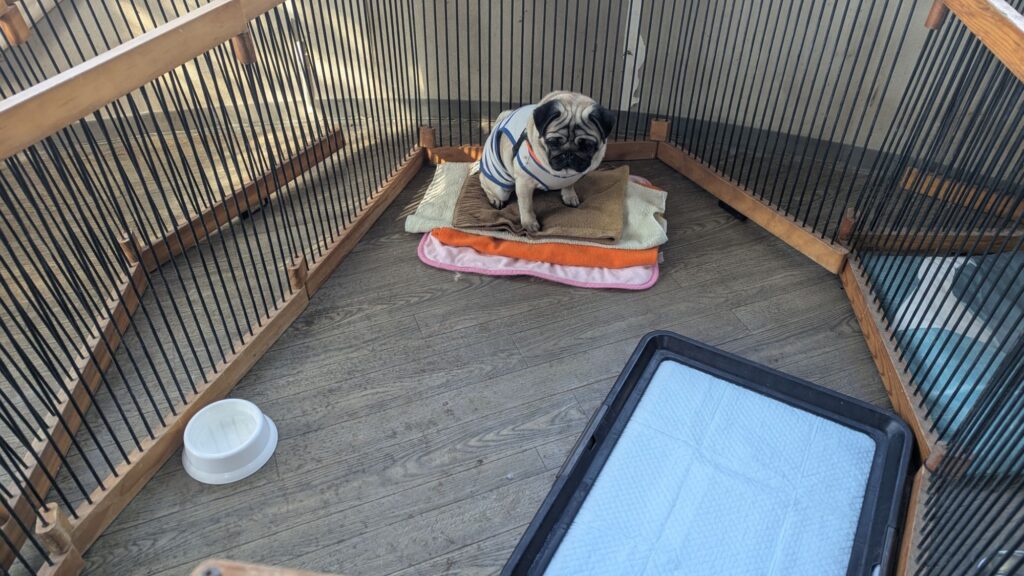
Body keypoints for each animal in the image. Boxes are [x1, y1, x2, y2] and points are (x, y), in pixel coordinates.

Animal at [478, 91, 616, 233]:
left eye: (587, 146)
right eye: (553, 143)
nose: (569, 153)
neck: (563, 173)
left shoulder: (570, 178)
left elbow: (569, 185)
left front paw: (569, 196)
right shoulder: (524, 183)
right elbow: (526, 206)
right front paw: (529, 223)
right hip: (500, 188)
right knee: (484, 182)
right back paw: (495, 200)